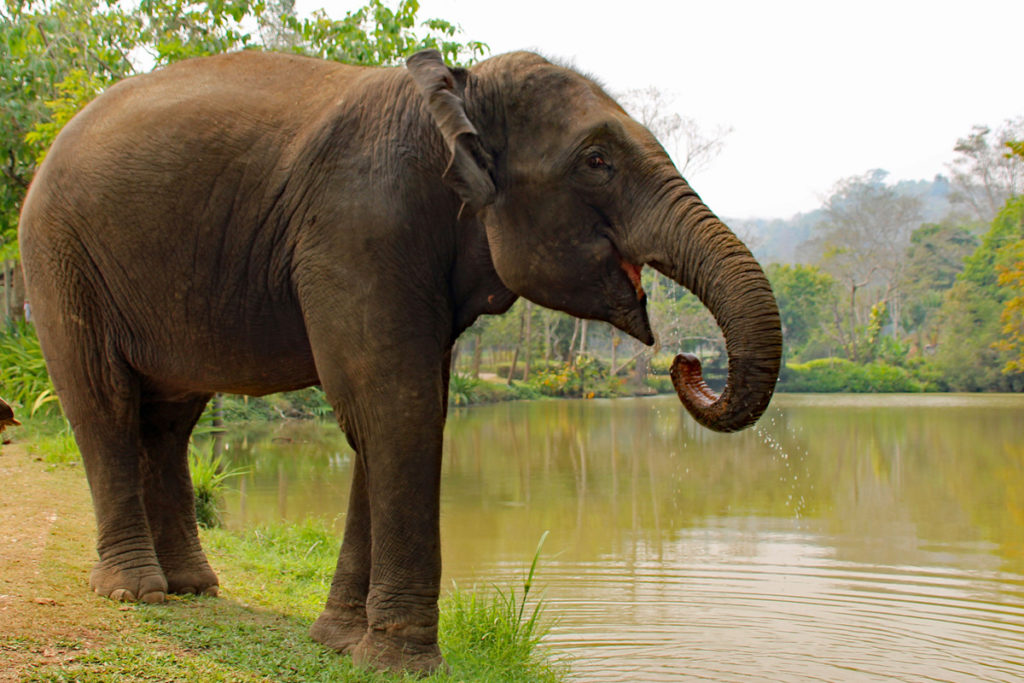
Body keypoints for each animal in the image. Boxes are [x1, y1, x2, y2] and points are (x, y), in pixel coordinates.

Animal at [18, 48, 782, 674]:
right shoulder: (357, 225)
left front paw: (337, 641)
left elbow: (390, 410)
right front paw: (401, 662)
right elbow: (397, 407)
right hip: (58, 255)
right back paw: (135, 593)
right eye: (597, 160)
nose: (689, 364)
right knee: (103, 404)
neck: (461, 88)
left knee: (169, 420)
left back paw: (192, 588)